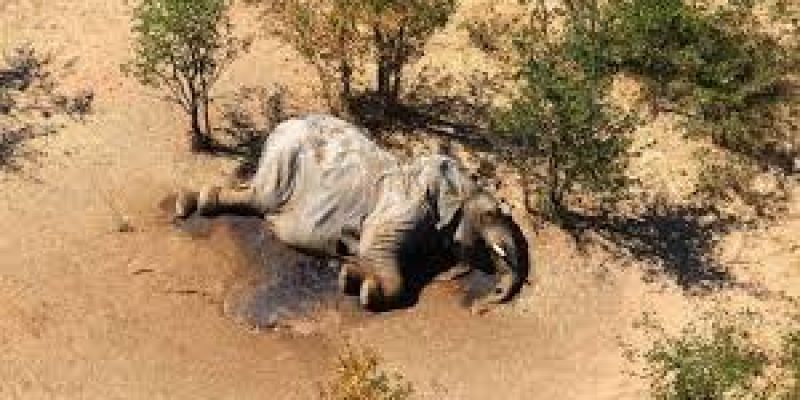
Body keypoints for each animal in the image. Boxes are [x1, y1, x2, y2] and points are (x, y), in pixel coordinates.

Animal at [175, 114, 529, 312]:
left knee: (255, 197)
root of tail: (281, 125)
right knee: (261, 198)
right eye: (491, 213)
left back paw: (195, 202)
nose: (482, 307)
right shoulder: (405, 207)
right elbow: (376, 247)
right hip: (285, 159)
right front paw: (362, 288)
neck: (455, 180)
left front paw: (350, 271)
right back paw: (189, 204)